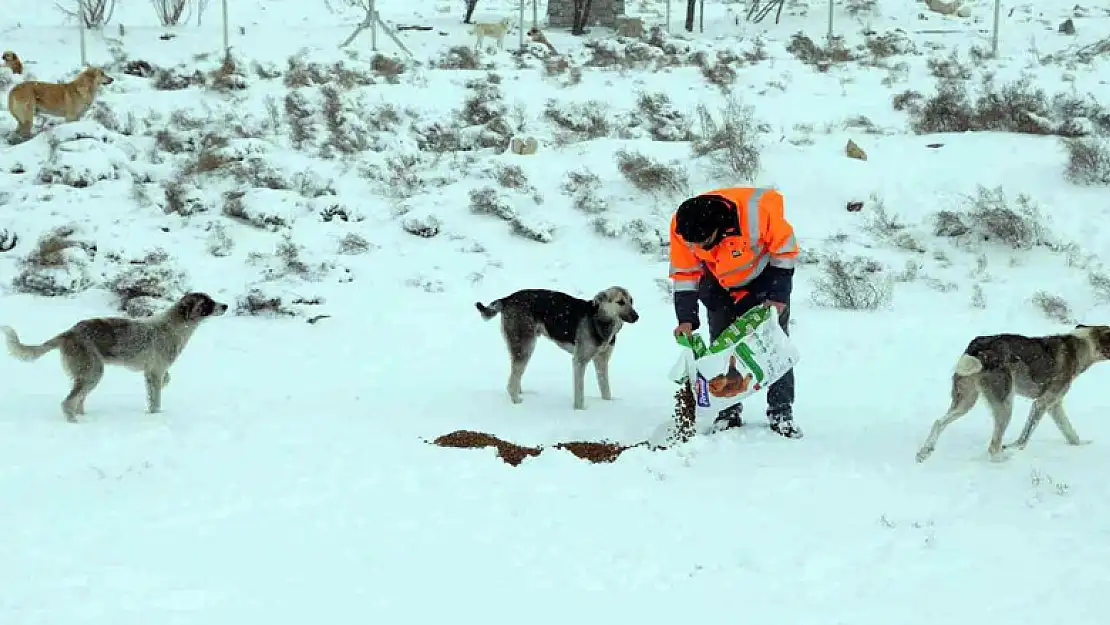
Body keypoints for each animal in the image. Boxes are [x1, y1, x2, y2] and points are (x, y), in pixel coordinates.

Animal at [1, 293, 227, 419]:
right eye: (207, 302)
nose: (225, 306)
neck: (174, 326)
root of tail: (69, 332)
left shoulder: (154, 371)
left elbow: (166, 380)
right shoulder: (154, 371)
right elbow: (156, 398)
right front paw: (156, 417)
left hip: (89, 374)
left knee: (78, 399)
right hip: (92, 371)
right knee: (68, 402)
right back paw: (74, 422)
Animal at [472, 286, 639, 410]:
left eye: (631, 301)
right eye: (620, 302)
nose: (637, 317)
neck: (600, 319)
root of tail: (507, 298)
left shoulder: (601, 362)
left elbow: (606, 390)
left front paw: (608, 405)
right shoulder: (579, 361)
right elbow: (579, 393)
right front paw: (580, 411)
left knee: (516, 376)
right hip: (526, 346)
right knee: (511, 383)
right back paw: (517, 403)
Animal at [914, 326, 1110, 461]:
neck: (1081, 345)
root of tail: (978, 348)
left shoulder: (1054, 406)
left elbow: (1070, 432)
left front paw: (1081, 446)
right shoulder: (1041, 403)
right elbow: (1024, 437)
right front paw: (1014, 448)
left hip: (965, 402)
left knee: (938, 422)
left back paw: (924, 452)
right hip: (1005, 405)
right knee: (993, 447)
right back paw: (1005, 459)